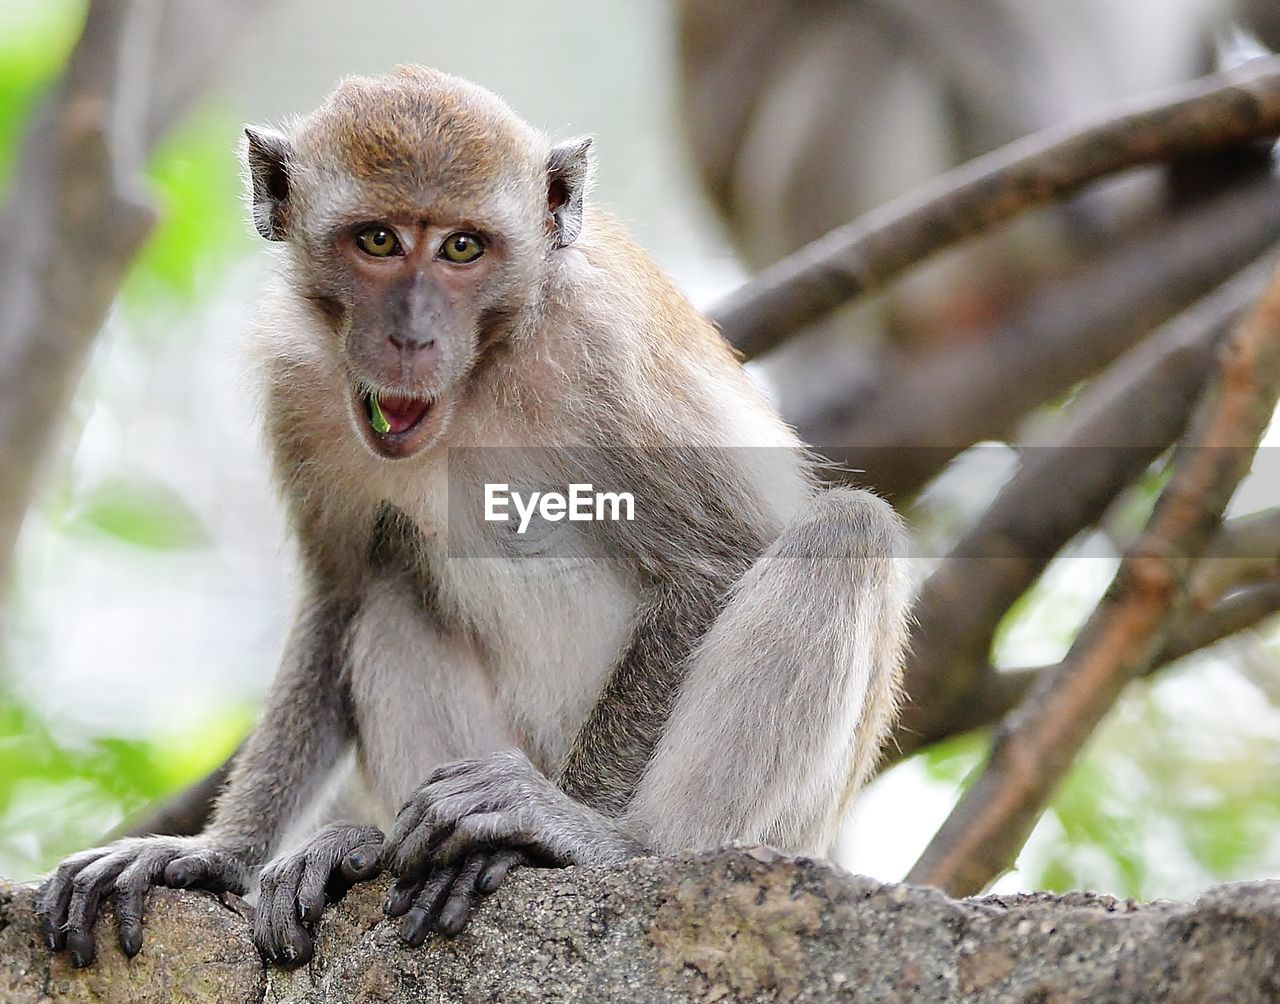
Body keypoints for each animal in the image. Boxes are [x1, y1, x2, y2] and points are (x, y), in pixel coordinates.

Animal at [32, 66, 911, 968]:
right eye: (377, 240)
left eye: (463, 247)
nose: (411, 336)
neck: (481, 378)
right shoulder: (298, 388)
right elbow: (339, 593)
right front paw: (217, 855)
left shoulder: (607, 356)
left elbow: (719, 559)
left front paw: (555, 824)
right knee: (389, 590)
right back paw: (370, 853)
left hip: (790, 828)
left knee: (847, 531)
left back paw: (620, 844)